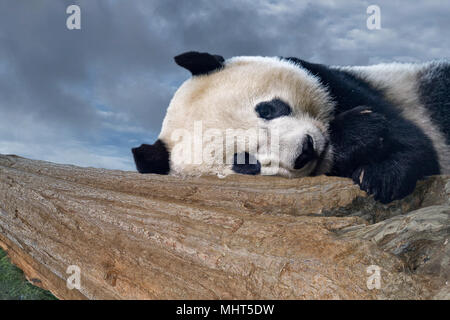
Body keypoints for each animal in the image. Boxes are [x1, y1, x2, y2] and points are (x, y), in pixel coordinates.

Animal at [132, 51, 448, 204]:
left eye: (268, 109)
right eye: (244, 161)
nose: (305, 150)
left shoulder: (338, 84)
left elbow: (410, 140)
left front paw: (379, 175)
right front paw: (355, 137)